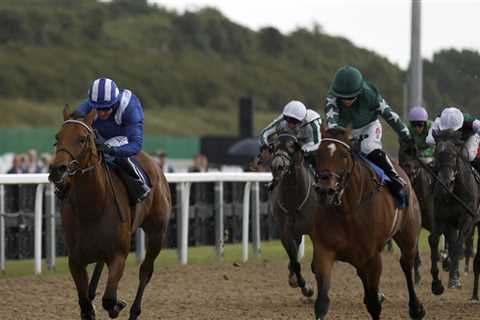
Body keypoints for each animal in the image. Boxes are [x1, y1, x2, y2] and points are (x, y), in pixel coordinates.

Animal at [48, 108, 172, 320]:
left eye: (82, 139)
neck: (92, 207)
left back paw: (134, 311)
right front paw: (92, 303)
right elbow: (85, 306)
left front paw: (117, 305)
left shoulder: (118, 256)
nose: (57, 170)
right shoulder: (75, 261)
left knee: (145, 271)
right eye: (57, 137)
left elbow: (109, 298)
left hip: (157, 233)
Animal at [312, 128, 424, 320]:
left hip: (408, 235)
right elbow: (322, 303)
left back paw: (416, 308)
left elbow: (373, 305)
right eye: (317, 154)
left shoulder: (372, 257)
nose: (325, 191)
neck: (348, 211)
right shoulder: (324, 251)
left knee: (406, 263)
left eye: (344, 155)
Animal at [430, 129, 478, 296]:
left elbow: (457, 246)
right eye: (437, 153)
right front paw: (436, 283)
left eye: (453, 155)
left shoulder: (467, 219)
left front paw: (454, 280)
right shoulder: (442, 218)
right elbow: (434, 241)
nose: (444, 183)